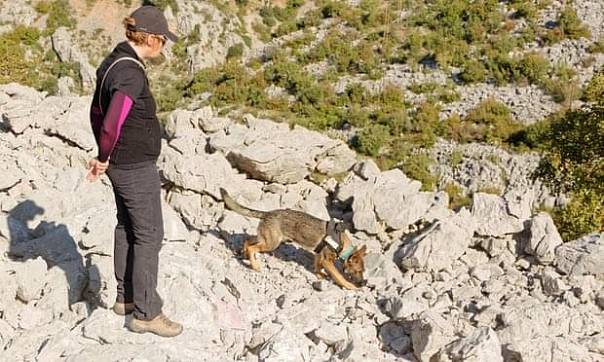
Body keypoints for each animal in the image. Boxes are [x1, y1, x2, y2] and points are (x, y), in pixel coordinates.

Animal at [219, 188, 366, 290]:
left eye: (362, 271)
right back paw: (255, 265)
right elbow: (339, 277)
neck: (342, 243)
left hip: (266, 239)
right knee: (252, 247)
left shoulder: (319, 255)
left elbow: (317, 266)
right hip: (271, 244)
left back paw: (245, 254)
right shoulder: (327, 260)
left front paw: (319, 275)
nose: (363, 283)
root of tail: (268, 213)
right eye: (358, 271)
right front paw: (350, 286)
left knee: (248, 240)